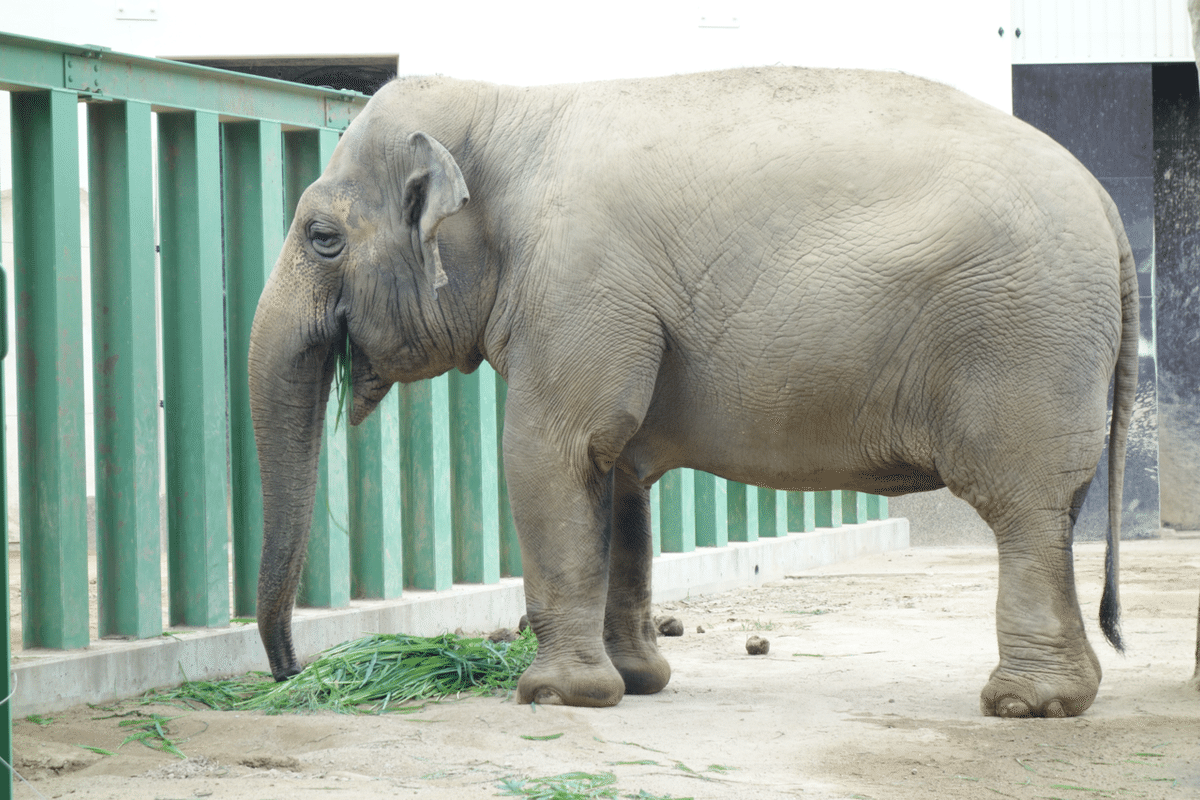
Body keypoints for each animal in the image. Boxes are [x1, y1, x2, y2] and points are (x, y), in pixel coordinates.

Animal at [250, 67, 1132, 719]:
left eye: (322, 239)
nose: (291, 674)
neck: (505, 109)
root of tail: (1104, 198)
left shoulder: (578, 283)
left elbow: (550, 452)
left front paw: (556, 697)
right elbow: (618, 475)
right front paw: (638, 683)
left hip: (1022, 338)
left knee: (1022, 506)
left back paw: (1024, 705)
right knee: (1053, 512)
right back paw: (1066, 696)